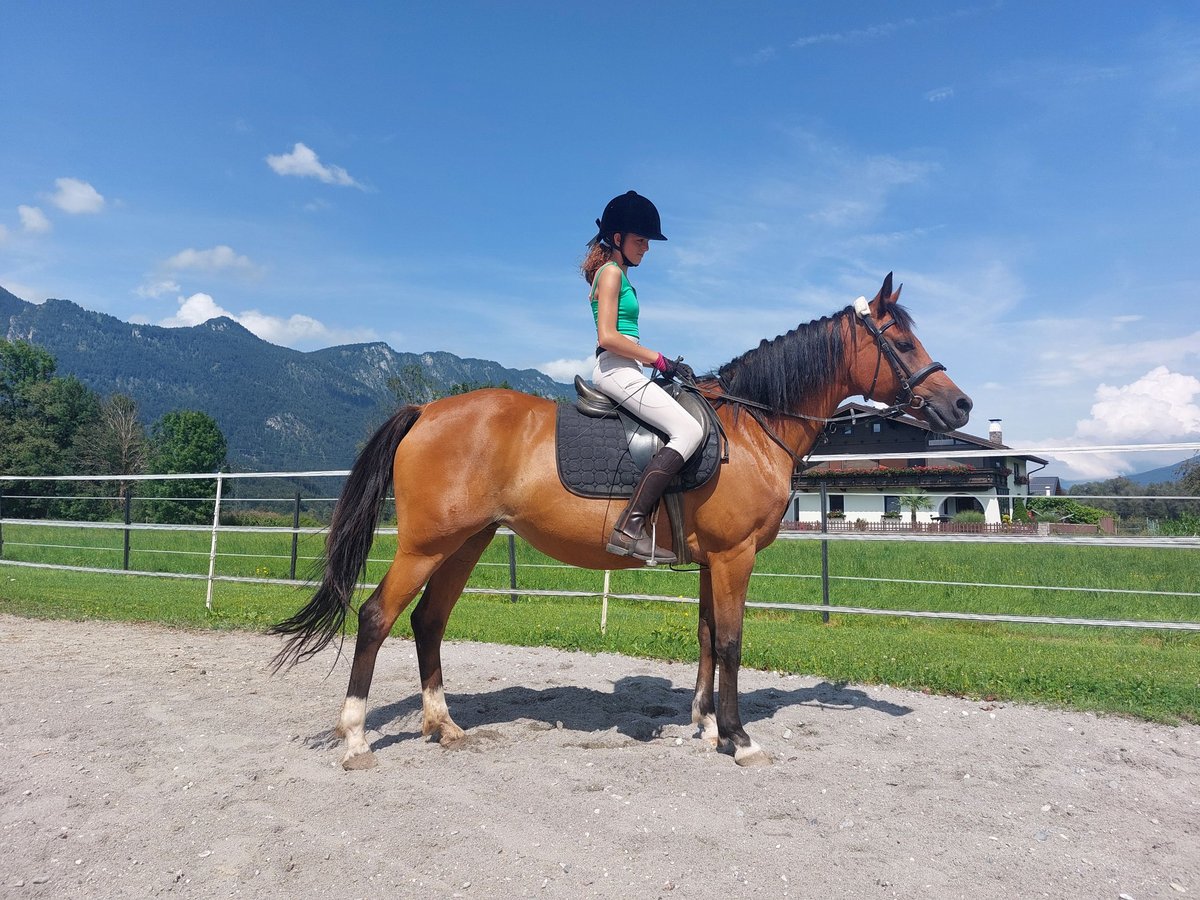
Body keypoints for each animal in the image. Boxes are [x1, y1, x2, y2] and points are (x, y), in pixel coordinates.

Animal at [270, 273, 964, 768]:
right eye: (903, 343)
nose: (960, 405)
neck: (752, 425)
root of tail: (425, 411)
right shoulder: (734, 555)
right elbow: (732, 643)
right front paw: (738, 739)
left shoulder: (712, 560)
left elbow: (706, 637)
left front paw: (703, 725)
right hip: (425, 543)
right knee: (375, 618)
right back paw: (357, 740)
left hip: (466, 542)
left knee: (428, 622)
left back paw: (442, 726)